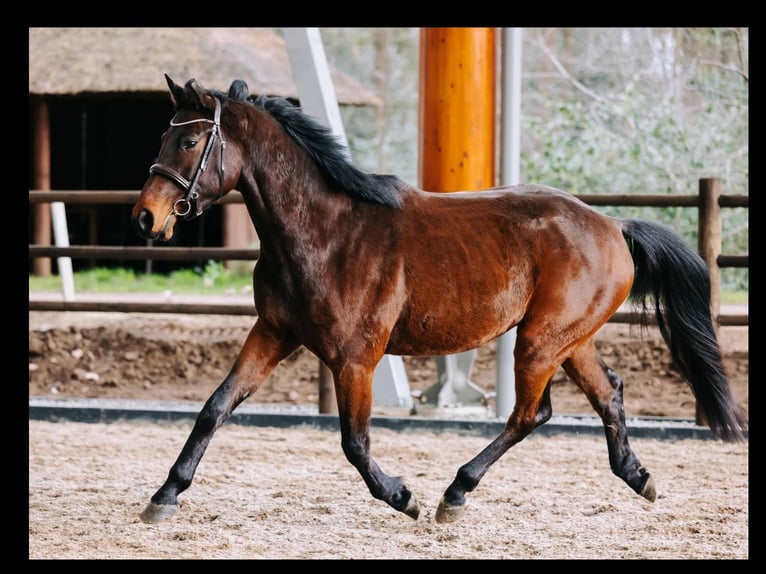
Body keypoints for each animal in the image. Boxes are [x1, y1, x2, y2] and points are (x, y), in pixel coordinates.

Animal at [132, 75, 752, 528]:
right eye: (163, 138)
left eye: (189, 141)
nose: (145, 217)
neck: (325, 233)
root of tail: (613, 227)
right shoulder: (273, 333)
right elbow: (215, 407)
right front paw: (164, 496)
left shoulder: (355, 358)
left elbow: (354, 442)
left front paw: (402, 496)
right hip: (570, 340)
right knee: (610, 395)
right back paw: (638, 476)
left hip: (540, 340)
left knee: (531, 413)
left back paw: (455, 493)